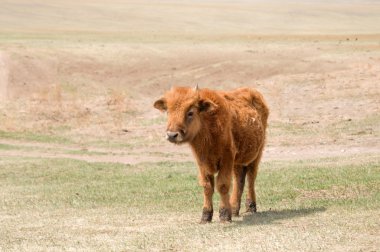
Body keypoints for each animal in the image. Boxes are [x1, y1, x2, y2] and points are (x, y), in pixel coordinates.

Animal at [153, 86, 268, 222]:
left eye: (190, 112)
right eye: (168, 112)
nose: (172, 135)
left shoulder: (227, 158)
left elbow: (222, 185)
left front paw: (224, 215)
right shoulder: (202, 162)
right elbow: (207, 187)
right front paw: (206, 216)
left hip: (256, 154)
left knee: (251, 178)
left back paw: (251, 207)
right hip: (238, 161)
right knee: (239, 180)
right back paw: (235, 208)